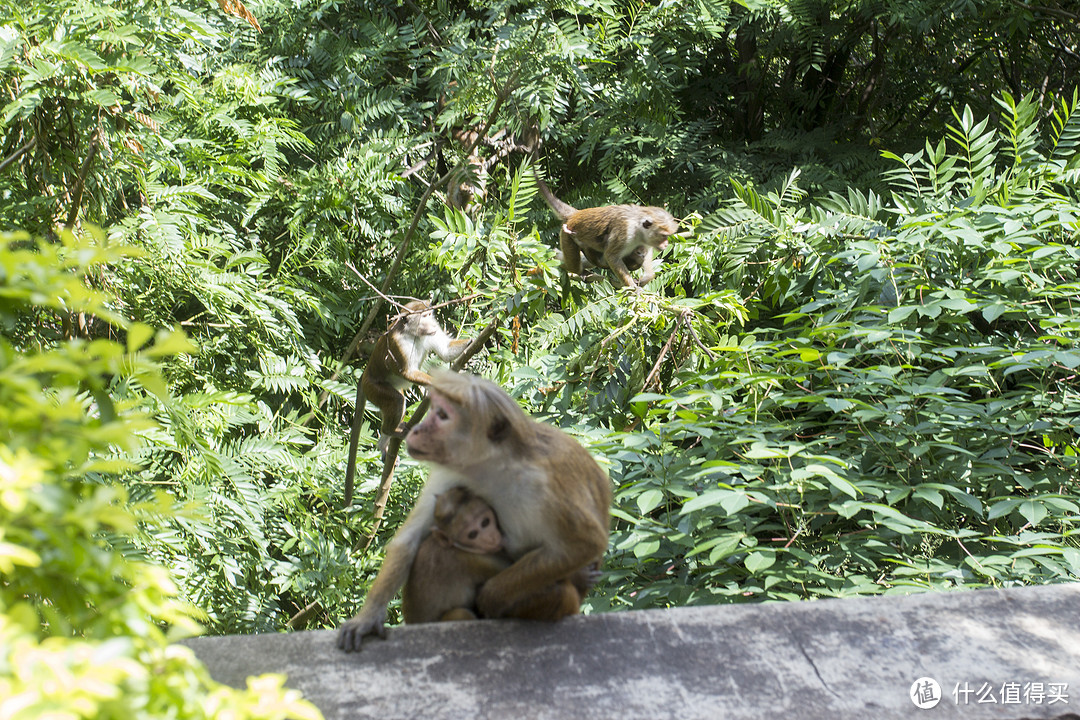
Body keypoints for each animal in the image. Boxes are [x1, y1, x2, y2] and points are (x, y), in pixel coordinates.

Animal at [334, 369, 609, 651]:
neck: (492, 464)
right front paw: (367, 618)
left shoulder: (548, 484)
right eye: (435, 410)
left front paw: (491, 597)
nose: (417, 429)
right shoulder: (451, 474)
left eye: (442, 415)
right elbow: (409, 541)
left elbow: (584, 543)